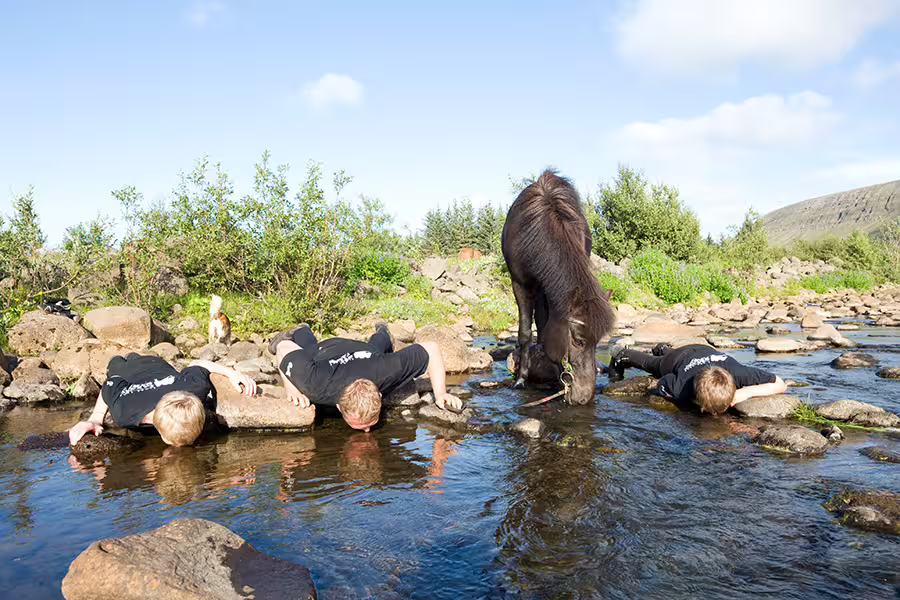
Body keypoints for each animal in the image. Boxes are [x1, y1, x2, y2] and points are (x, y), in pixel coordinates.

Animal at [501, 169, 616, 404]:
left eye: (597, 342)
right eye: (578, 341)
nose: (584, 398)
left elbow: (546, 325)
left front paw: (553, 375)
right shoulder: (520, 283)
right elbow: (525, 332)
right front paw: (521, 379)